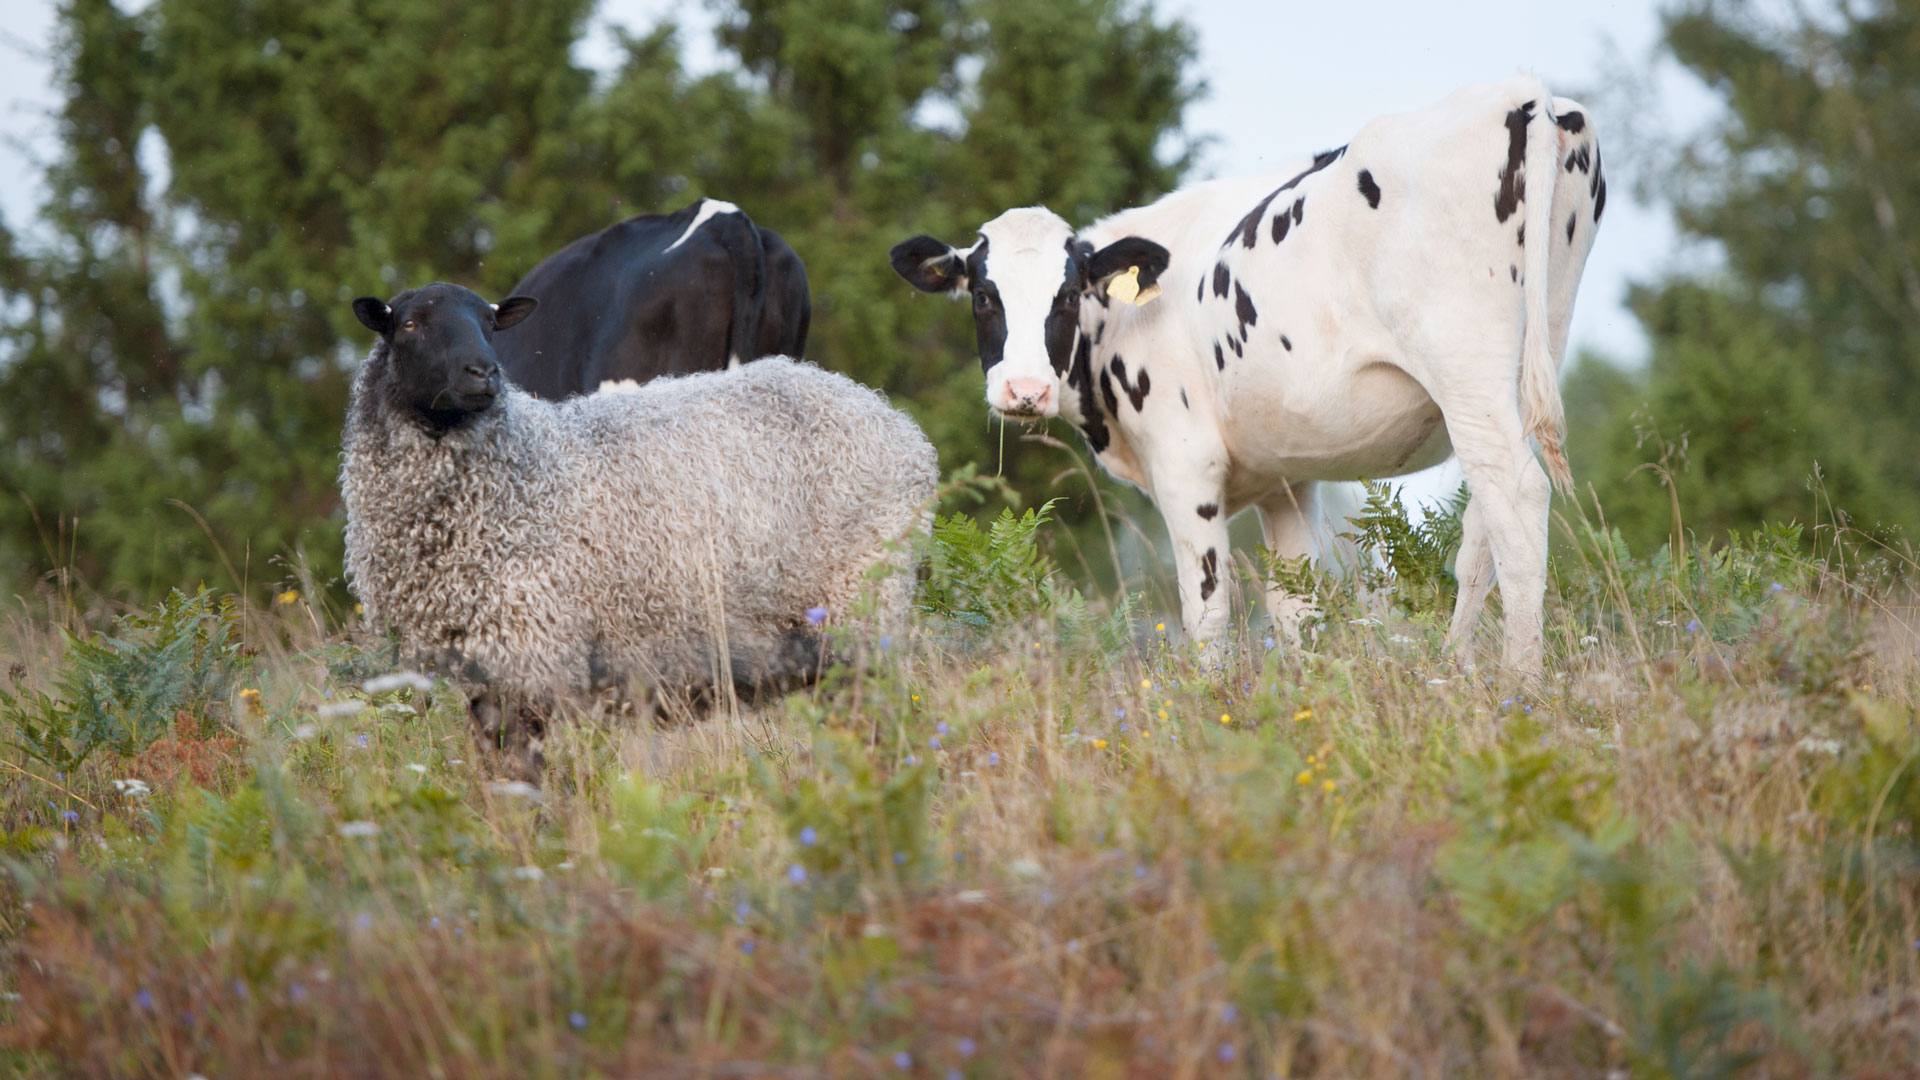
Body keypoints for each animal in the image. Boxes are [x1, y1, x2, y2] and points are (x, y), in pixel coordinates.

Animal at [345, 276, 944, 749]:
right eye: (410, 325)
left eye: (491, 324)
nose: (483, 374)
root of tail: (895, 421)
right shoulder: (481, 670)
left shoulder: (534, 648)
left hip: (862, 598)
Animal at [894, 77, 1605, 672]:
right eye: (982, 296)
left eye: (1068, 296)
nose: (1024, 391)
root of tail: (1523, 92)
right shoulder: (1284, 481)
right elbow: (1295, 609)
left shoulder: (1186, 464)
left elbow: (1205, 612)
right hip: (1535, 349)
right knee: (1485, 523)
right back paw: (1453, 669)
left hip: (1464, 362)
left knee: (1516, 497)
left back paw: (1518, 682)